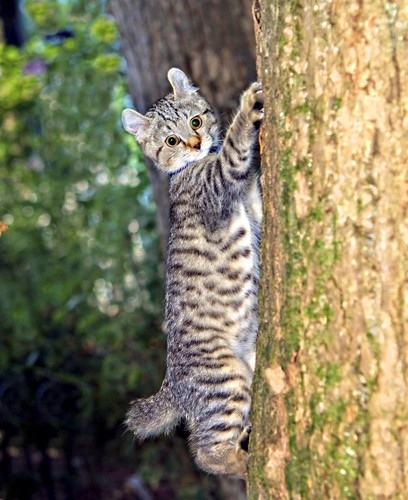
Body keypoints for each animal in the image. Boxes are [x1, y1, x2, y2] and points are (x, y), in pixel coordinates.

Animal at [121, 68, 262, 478]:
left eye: (196, 121)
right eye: (171, 140)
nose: (196, 142)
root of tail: (170, 385)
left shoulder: (253, 207)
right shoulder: (219, 181)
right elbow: (234, 148)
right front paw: (247, 107)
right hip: (224, 382)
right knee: (205, 451)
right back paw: (242, 463)